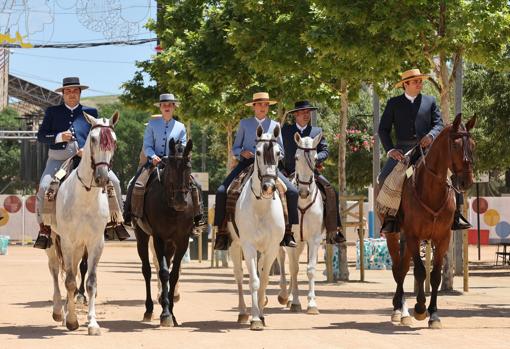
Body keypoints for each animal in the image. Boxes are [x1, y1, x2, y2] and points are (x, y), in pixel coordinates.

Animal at [47, 111, 119, 334]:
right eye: (93, 139)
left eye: (114, 141)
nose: (102, 177)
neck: (85, 196)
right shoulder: (67, 242)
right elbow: (69, 281)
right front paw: (71, 320)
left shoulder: (96, 243)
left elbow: (90, 282)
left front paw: (92, 323)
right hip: (53, 241)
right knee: (54, 271)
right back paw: (58, 311)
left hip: (79, 246)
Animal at [132, 138, 194, 326]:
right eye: (171, 168)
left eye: (188, 167)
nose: (181, 202)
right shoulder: (158, 238)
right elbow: (164, 272)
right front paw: (165, 313)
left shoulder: (181, 241)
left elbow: (173, 275)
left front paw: (171, 313)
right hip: (142, 236)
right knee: (147, 270)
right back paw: (149, 309)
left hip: (170, 244)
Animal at [229, 124, 284, 328]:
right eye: (258, 152)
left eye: (278, 153)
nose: (268, 186)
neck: (261, 207)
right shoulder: (249, 246)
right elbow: (253, 280)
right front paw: (254, 319)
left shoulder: (272, 248)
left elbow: (265, 280)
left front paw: (261, 315)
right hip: (234, 245)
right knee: (238, 275)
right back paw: (243, 312)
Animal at [276, 132, 324, 314]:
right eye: (297, 158)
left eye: (315, 158)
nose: (303, 192)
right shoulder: (291, 240)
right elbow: (294, 268)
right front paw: (296, 301)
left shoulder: (314, 240)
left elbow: (310, 269)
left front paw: (312, 304)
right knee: (282, 260)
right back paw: (284, 295)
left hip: (302, 243)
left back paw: (288, 297)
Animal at [386, 113, 478, 328]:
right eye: (455, 145)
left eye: (473, 144)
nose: (466, 182)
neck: (431, 191)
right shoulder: (413, 235)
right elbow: (420, 271)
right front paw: (420, 309)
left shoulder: (443, 238)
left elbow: (435, 275)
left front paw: (434, 314)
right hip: (395, 235)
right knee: (398, 269)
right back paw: (398, 310)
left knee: (403, 268)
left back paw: (402, 310)